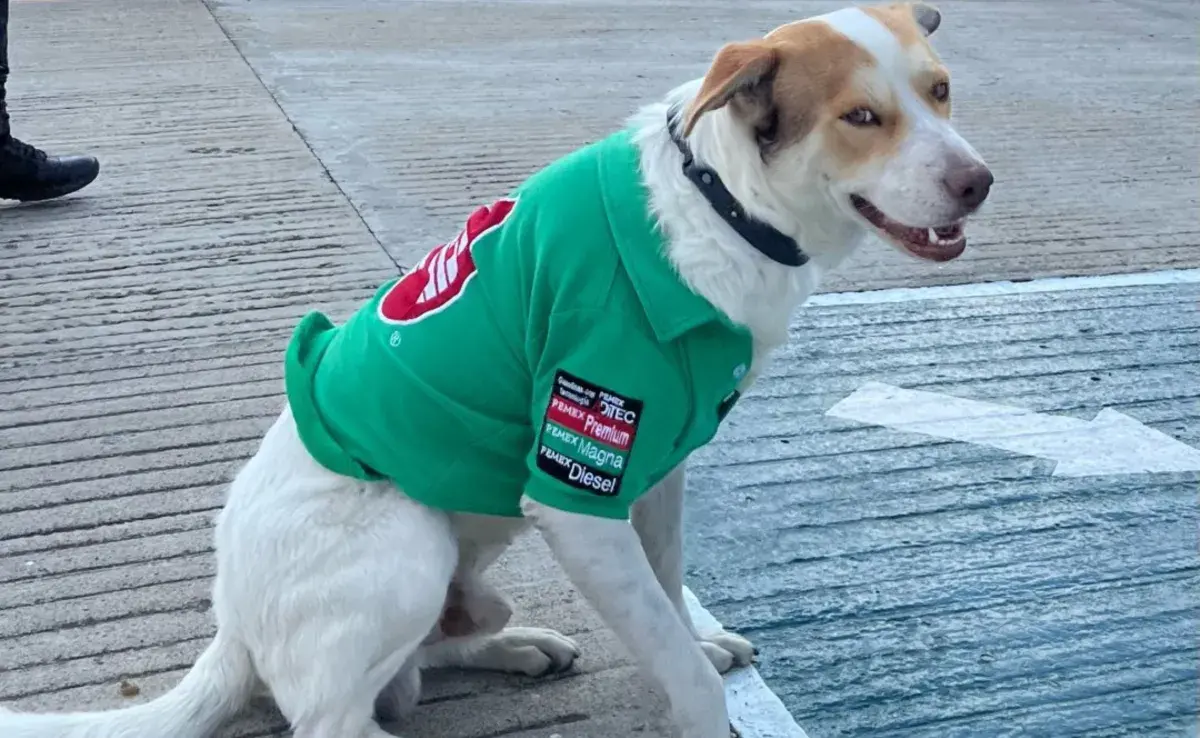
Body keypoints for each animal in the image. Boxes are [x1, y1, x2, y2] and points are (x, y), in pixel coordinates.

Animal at [0, 2, 993, 734]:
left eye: (942, 92)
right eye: (860, 117)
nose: (979, 182)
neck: (721, 203)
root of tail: (231, 627)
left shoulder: (660, 468)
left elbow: (669, 599)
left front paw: (692, 642)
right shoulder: (580, 495)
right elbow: (678, 661)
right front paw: (700, 698)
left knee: (411, 670)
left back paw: (516, 648)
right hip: (408, 541)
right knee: (330, 717)